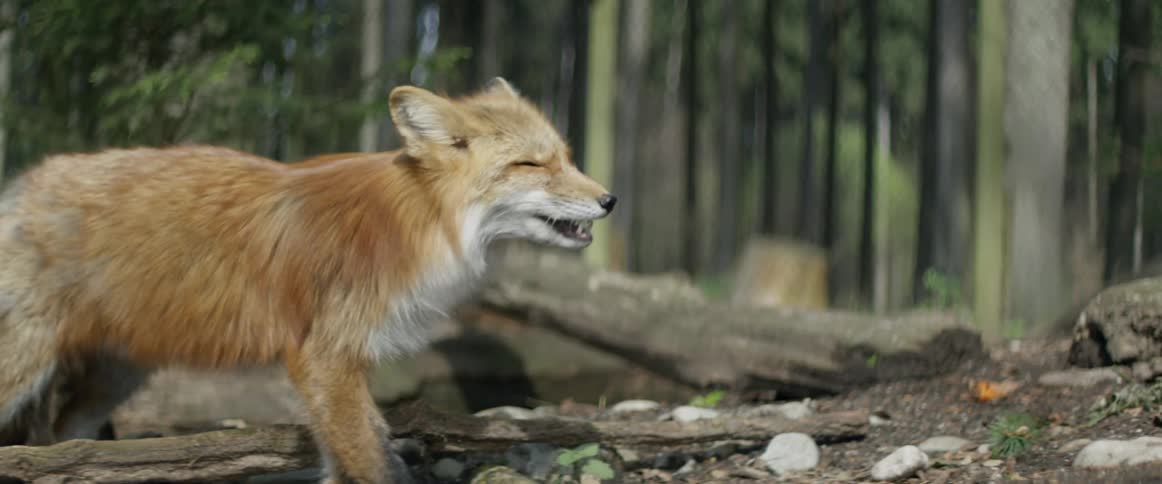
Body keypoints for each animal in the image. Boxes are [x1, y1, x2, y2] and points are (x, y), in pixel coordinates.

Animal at [0, 77, 615, 483]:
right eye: (531, 165)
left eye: (566, 157)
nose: (610, 200)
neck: (417, 223)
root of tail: (23, 183)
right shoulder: (324, 358)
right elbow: (377, 466)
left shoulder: (335, 374)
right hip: (26, 367)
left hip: (115, 378)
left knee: (64, 440)